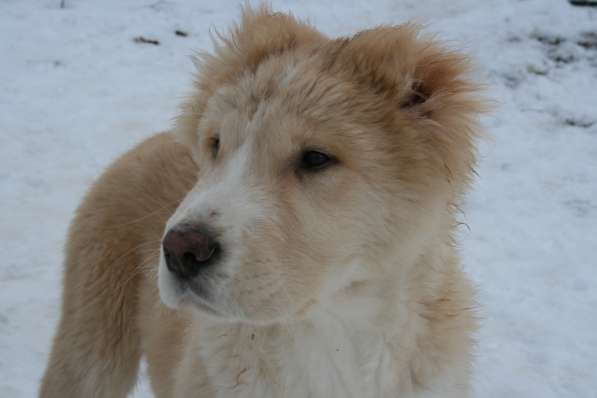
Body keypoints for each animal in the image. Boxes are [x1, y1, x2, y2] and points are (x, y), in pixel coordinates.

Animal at [38, 6, 484, 398]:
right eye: (215, 143)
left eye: (315, 158)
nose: (181, 250)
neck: (333, 329)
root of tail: (152, 140)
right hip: (89, 347)